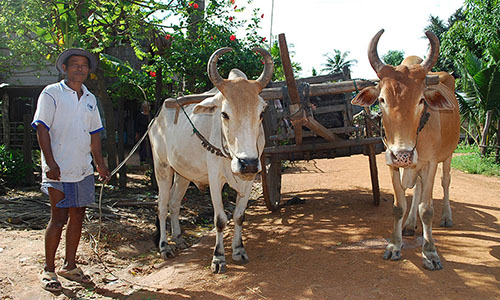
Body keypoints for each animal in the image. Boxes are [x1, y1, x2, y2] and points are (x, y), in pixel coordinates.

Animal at [148, 47, 274, 274]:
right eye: (224, 114)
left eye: (261, 113)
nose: (247, 163)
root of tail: (156, 119)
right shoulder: (215, 179)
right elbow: (220, 220)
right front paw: (218, 258)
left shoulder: (250, 178)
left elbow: (239, 216)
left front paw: (238, 250)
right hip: (162, 167)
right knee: (161, 206)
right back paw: (164, 247)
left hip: (182, 174)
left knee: (174, 203)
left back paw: (178, 239)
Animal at [352, 29, 460, 270]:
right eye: (382, 99)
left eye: (421, 100)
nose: (403, 155)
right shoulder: (391, 163)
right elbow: (398, 206)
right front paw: (394, 245)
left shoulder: (430, 162)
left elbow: (426, 209)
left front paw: (430, 252)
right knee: (418, 188)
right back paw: (410, 224)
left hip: (448, 155)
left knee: (445, 181)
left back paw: (447, 217)